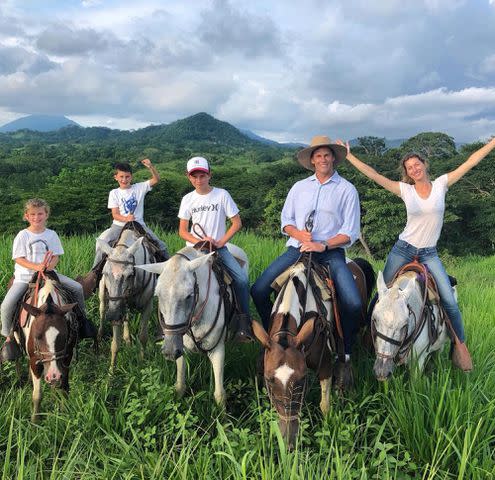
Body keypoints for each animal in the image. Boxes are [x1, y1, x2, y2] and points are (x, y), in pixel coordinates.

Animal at [16, 276, 78, 422]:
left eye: (64, 335)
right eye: (37, 336)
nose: (53, 375)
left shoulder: (66, 357)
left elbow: (64, 388)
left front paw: (64, 412)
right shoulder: (34, 361)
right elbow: (37, 394)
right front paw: (35, 421)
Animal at [96, 227, 158, 370]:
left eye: (130, 275)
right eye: (104, 273)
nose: (112, 315)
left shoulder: (147, 305)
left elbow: (143, 336)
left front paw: (141, 362)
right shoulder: (115, 305)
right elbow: (115, 343)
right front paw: (111, 371)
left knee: (126, 318)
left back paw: (128, 339)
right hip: (103, 295)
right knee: (102, 310)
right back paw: (100, 335)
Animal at [137, 244, 247, 404]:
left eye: (189, 295)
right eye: (157, 295)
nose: (169, 351)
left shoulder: (217, 349)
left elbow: (220, 394)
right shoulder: (180, 345)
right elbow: (180, 385)